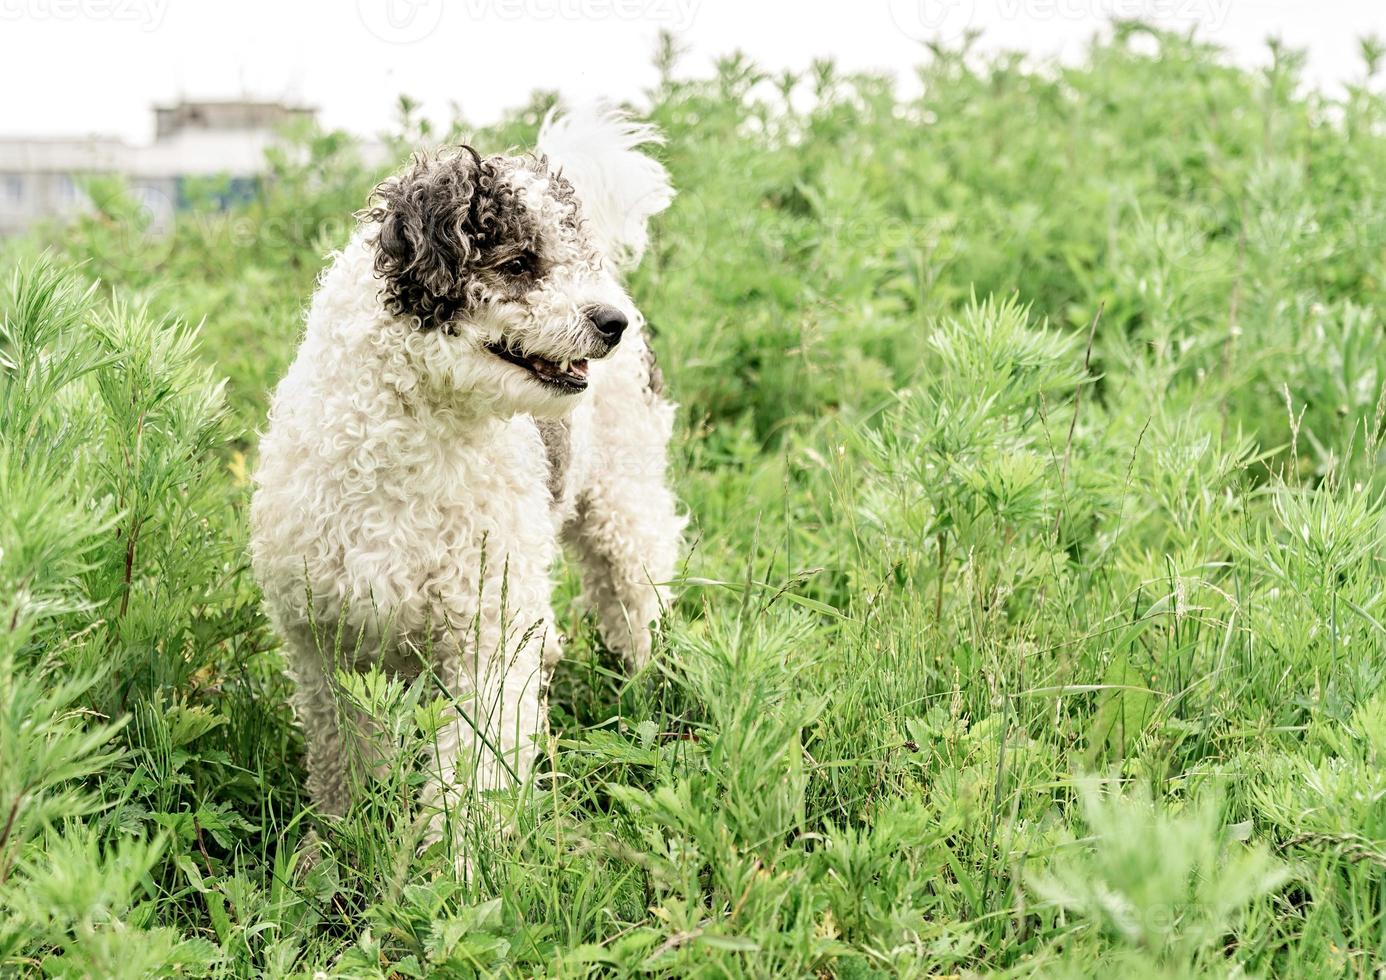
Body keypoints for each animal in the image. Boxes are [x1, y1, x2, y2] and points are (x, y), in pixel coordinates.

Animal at [252, 109, 684, 842]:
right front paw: (340, 842)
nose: (612, 324)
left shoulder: (489, 634)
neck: (412, 442)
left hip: (622, 505)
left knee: (634, 600)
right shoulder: (324, 642)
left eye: (574, 259)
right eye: (518, 264)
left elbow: (472, 775)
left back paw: (646, 689)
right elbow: (342, 756)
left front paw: (454, 862)